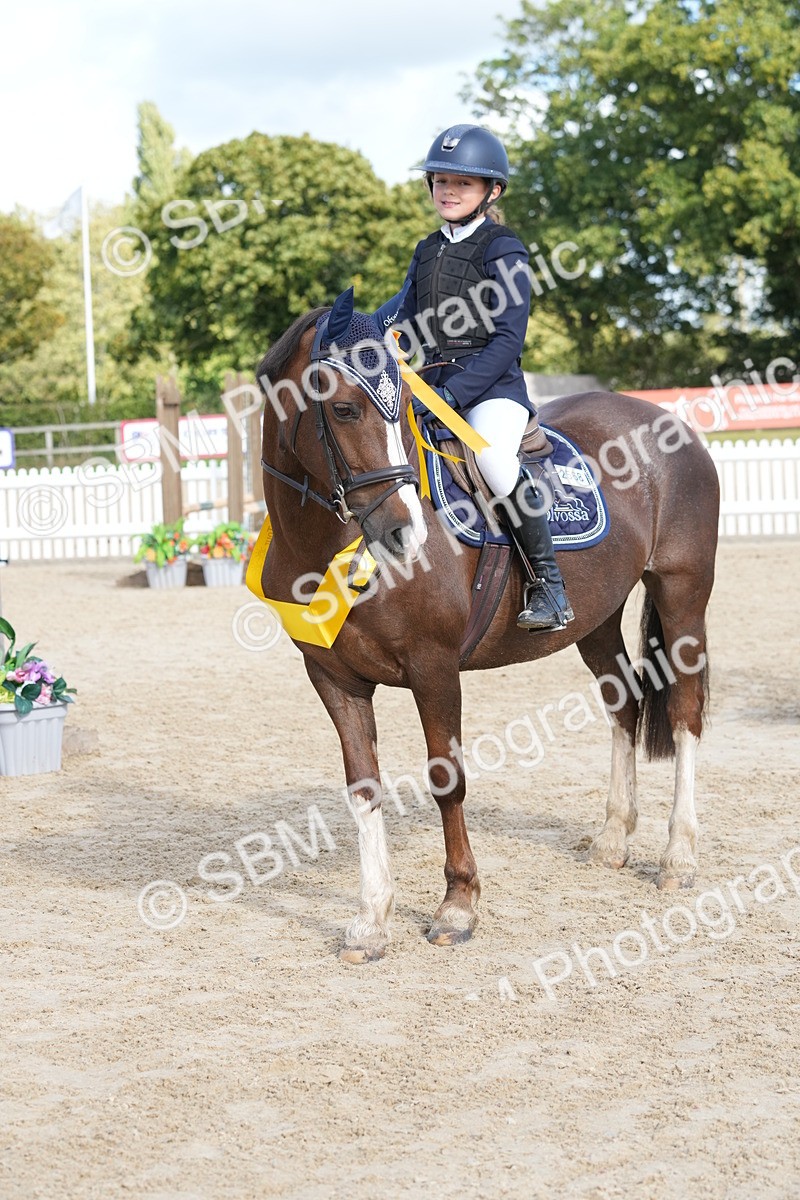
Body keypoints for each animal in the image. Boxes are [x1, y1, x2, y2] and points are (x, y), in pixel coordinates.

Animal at [255, 290, 719, 963]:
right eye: (343, 408)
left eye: (402, 412)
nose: (402, 533)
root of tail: (672, 424)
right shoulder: (333, 678)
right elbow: (363, 787)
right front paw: (371, 921)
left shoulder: (433, 667)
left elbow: (446, 779)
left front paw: (458, 906)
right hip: (597, 620)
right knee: (624, 704)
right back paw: (613, 840)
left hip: (682, 595)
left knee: (684, 713)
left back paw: (678, 856)